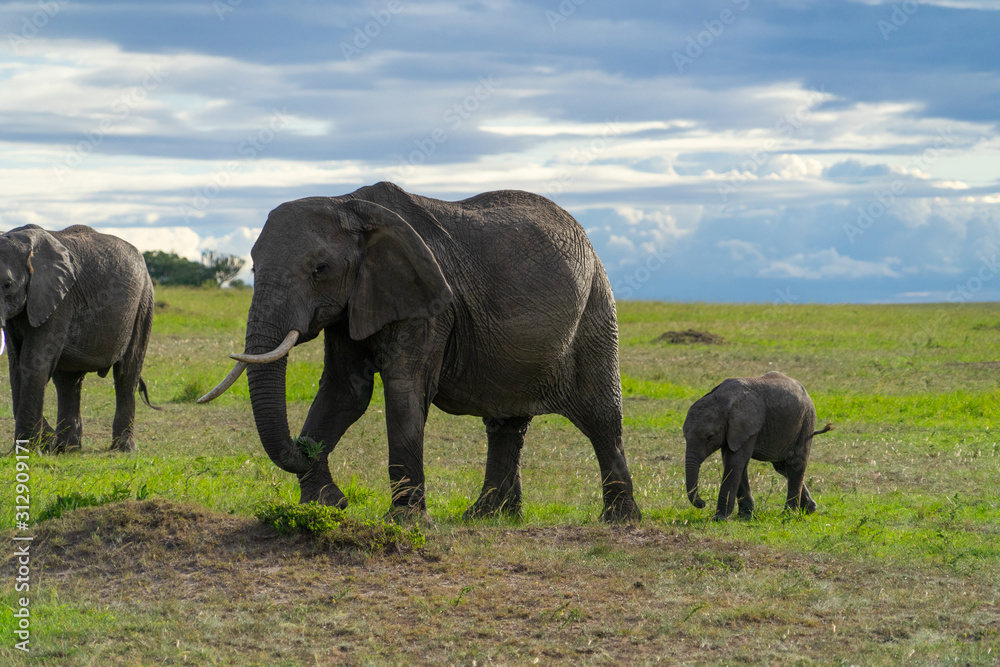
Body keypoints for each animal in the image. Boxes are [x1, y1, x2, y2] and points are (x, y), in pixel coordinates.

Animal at [0, 224, 156, 452]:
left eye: (7, 285)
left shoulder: (58, 300)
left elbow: (33, 363)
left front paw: (28, 451)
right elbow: (15, 367)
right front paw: (39, 445)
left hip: (144, 304)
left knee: (126, 373)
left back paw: (123, 449)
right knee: (68, 380)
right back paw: (65, 449)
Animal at [201, 181, 641, 523]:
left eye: (319, 269)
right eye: (252, 268)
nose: (303, 446)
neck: (348, 202)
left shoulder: (430, 304)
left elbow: (404, 389)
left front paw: (407, 522)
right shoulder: (355, 303)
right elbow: (345, 392)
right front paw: (323, 506)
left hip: (596, 310)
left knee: (601, 417)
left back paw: (619, 521)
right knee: (505, 423)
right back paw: (488, 517)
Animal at [683, 371, 833, 521]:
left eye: (709, 437)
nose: (703, 503)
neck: (721, 398)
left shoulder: (748, 426)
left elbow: (735, 462)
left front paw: (719, 518)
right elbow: (734, 462)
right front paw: (745, 516)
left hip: (806, 420)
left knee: (795, 464)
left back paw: (788, 515)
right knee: (782, 467)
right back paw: (809, 509)